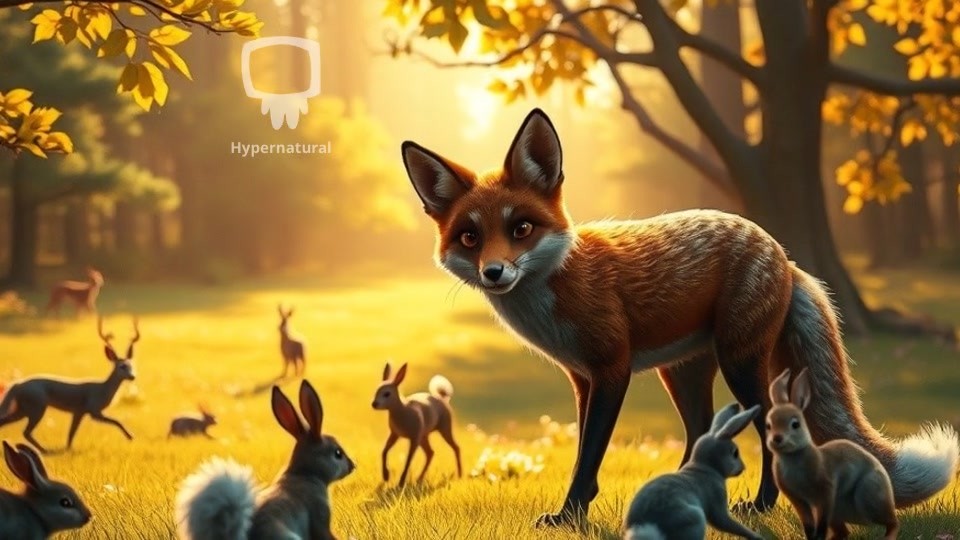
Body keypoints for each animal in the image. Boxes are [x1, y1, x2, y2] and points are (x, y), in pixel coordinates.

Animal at [623, 402, 764, 540]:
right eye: (735, 453)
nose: (743, 467)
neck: (707, 466)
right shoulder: (717, 501)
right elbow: (725, 522)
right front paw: (757, 537)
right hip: (695, 518)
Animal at [766, 368, 898, 540]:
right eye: (768, 425)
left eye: (795, 424)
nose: (777, 439)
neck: (793, 457)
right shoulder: (799, 500)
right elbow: (808, 525)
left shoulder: (826, 492)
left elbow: (821, 523)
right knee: (843, 531)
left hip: (868, 494)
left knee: (892, 522)